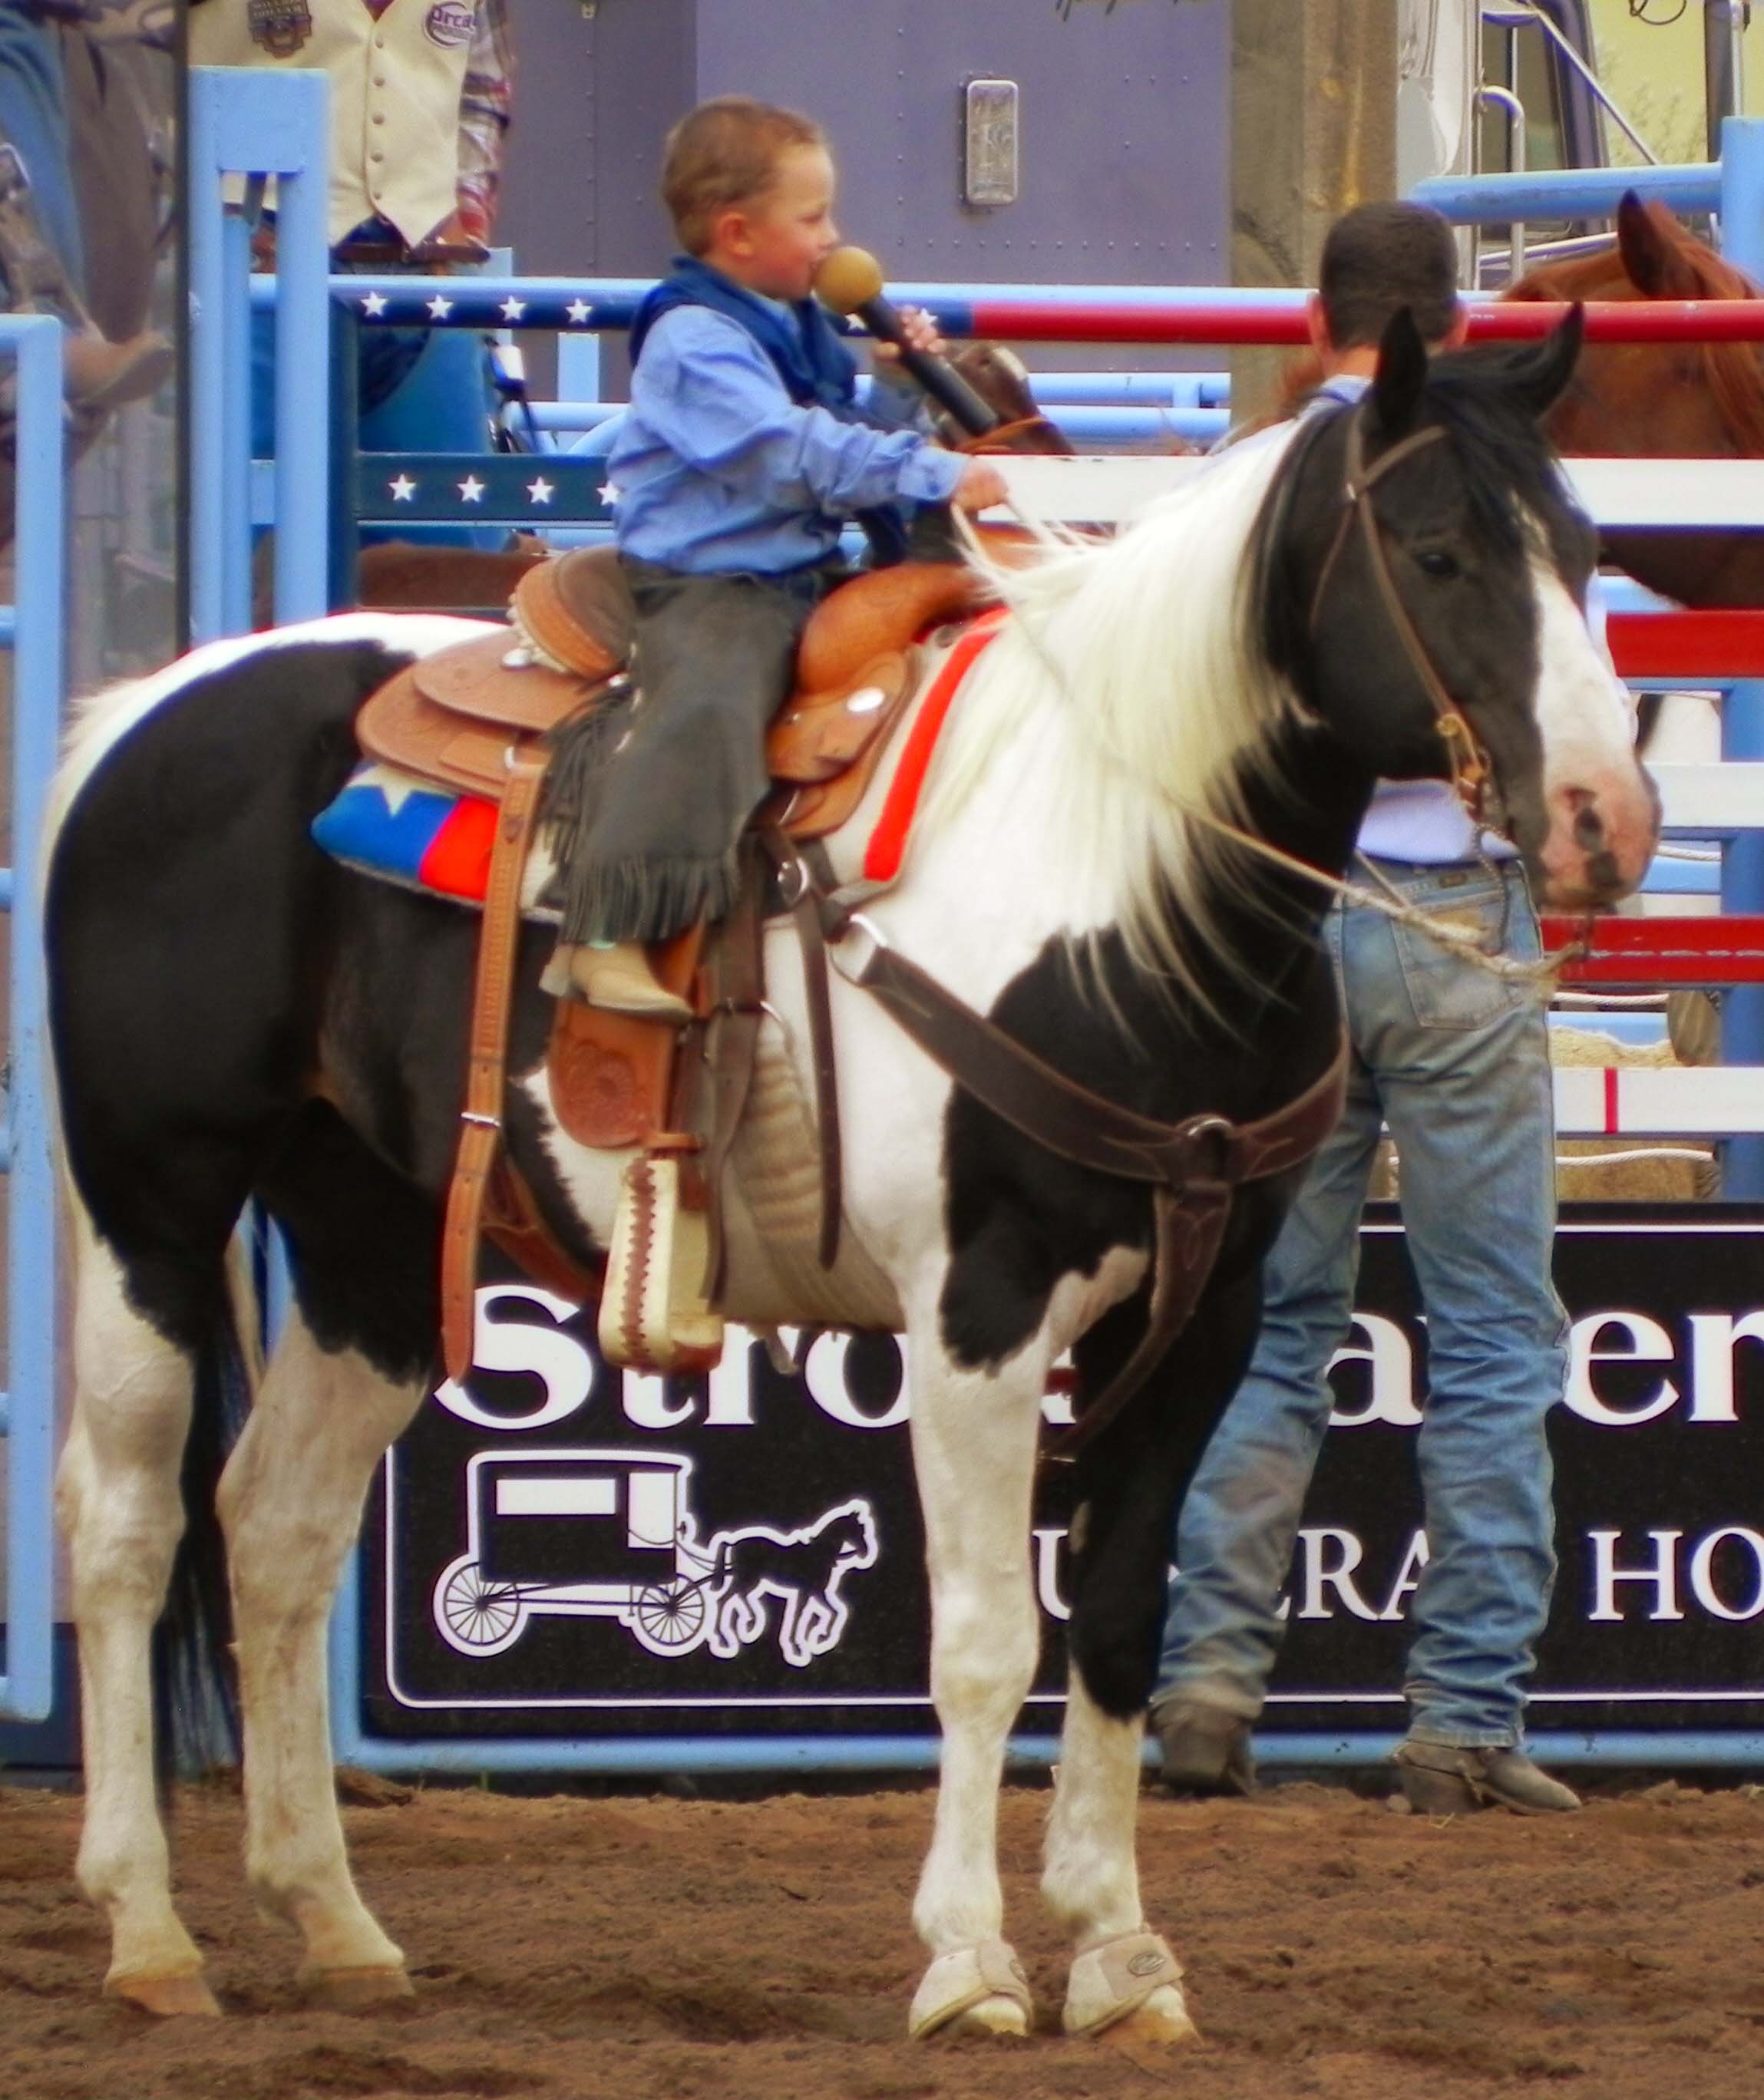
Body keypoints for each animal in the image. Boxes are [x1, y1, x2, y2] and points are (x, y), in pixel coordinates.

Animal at [51, 319, 1654, 2041]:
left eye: (1583, 549)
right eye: (1435, 552)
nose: (1605, 820)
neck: (1119, 887)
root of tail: (145, 711)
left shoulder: (1198, 1317)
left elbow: (1117, 1626)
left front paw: (1120, 1955)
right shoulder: (980, 1315)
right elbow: (982, 1638)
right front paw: (967, 1962)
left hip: (370, 1242)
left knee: (277, 1526)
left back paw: (334, 1920)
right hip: (154, 1198)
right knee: (130, 1524)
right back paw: (148, 1930)